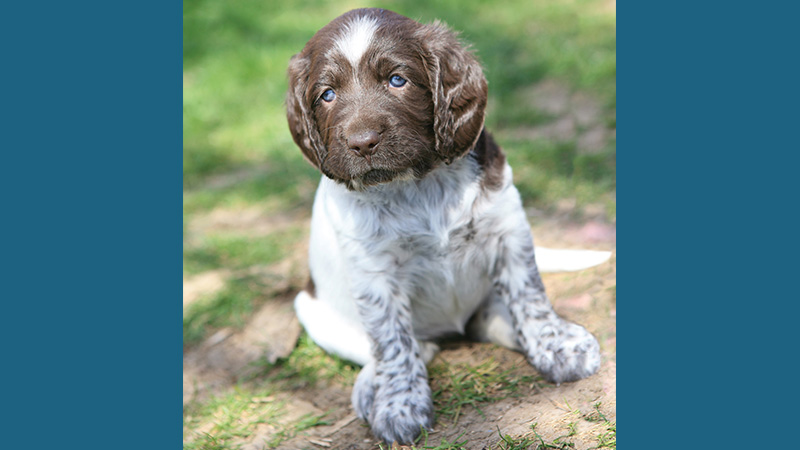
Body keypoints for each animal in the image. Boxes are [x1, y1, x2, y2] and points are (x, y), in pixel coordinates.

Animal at [284, 8, 604, 444]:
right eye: (327, 95)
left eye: (397, 80)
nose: (362, 143)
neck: (416, 184)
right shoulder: (374, 272)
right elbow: (392, 341)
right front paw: (399, 404)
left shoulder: (507, 227)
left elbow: (530, 295)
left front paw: (557, 346)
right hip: (311, 309)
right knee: (397, 350)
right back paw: (372, 386)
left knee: (489, 318)